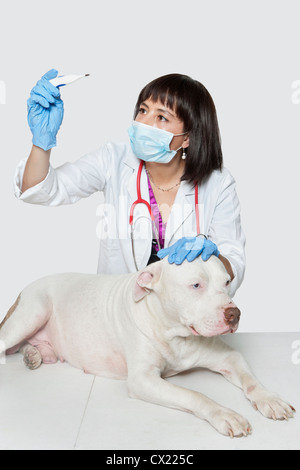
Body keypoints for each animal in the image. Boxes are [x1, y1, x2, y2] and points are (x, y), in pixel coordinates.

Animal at [0, 258, 296, 436]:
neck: (175, 333)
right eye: (196, 285)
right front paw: (225, 413)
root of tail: (25, 288)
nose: (234, 314)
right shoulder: (143, 380)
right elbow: (194, 395)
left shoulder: (229, 357)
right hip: (33, 311)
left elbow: (251, 380)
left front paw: (271, 400)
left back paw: (35, 354)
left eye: (226, 282)